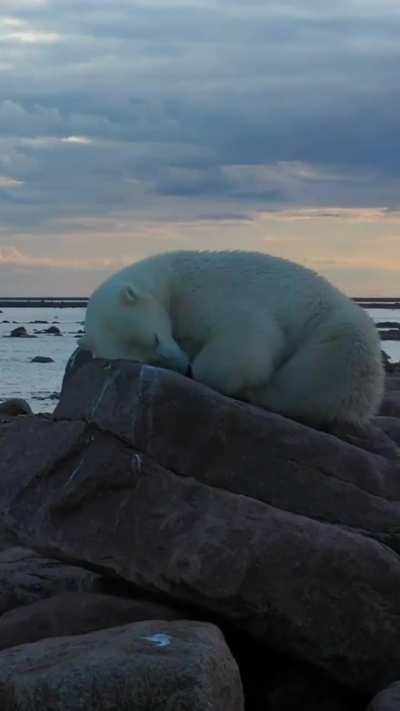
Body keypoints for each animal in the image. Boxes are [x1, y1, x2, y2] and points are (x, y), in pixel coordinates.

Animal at [81, 250, 384, 428]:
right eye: (146, 359)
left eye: (155, 339)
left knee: (312, 377)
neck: (169, 277)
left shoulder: (204, 293)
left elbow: (251, 339)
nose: (183, 367)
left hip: (340, 336)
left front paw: (204, 370)